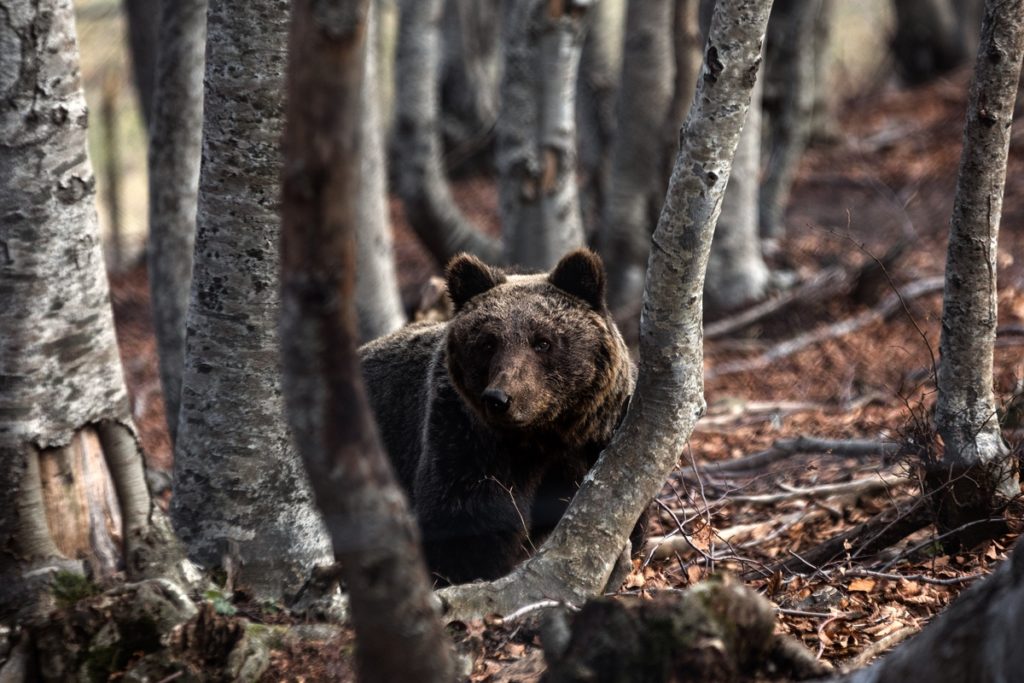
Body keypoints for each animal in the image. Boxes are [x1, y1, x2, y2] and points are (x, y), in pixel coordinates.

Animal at [356, 248, 634, 585]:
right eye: (488, 342)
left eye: (543, 341)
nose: (499, 399)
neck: (546, 434)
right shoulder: (467, 437)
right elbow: (468, 519)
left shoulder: (596, 436)